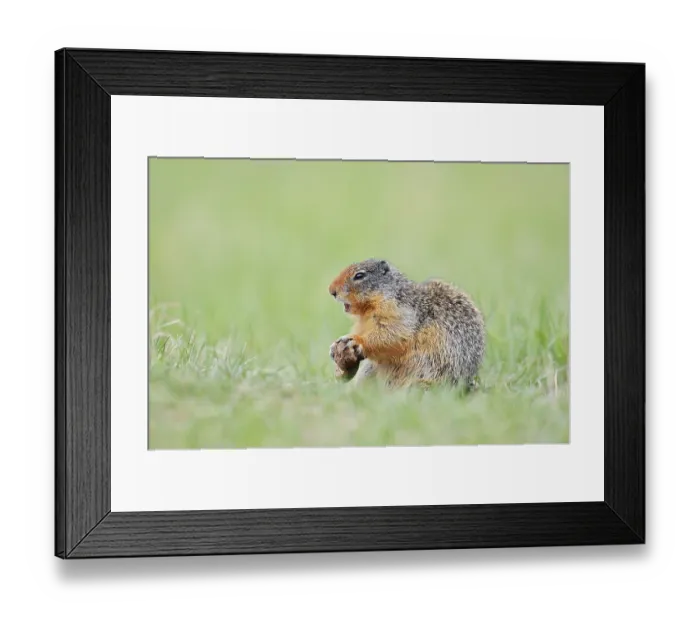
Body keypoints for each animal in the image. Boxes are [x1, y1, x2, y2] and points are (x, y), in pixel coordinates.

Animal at [328, 258, 485, 390]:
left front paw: (356, 340)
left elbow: (393, 333)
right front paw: (336, 350)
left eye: (359, 275)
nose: (331, 291)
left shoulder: (398, 312)